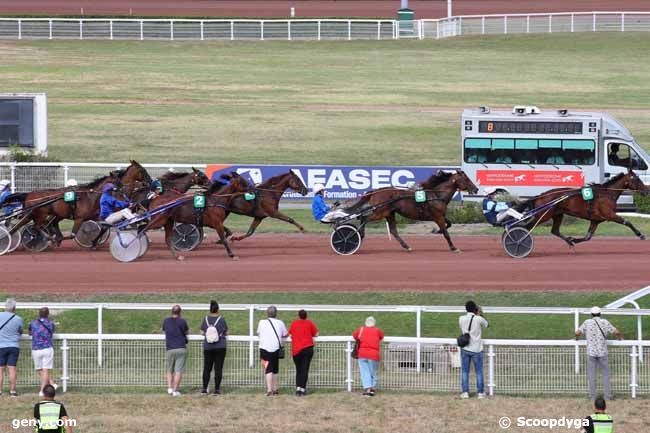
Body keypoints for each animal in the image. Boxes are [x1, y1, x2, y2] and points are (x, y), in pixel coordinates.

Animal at [512, 168, 644, 245]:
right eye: (637, 179)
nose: (646, 190)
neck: (606, 193)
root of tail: (541, 195)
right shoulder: (610, 215)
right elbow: (627, 222)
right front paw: (640, 235)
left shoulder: (595, 220)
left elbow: (587, 237)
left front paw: (573, 240)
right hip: (544, 215)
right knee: (527, 228)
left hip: (558, 214)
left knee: (555, 230)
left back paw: (569, 242)